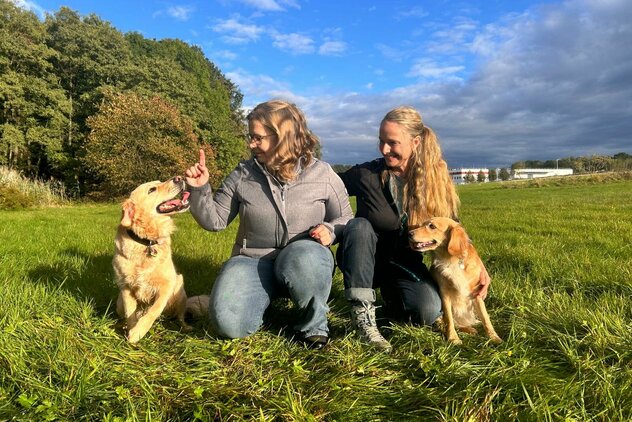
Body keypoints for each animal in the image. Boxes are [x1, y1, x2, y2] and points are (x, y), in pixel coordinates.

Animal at [112, 175, 190, 342]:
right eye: (152, 189)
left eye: (160, 182)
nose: (179, 177)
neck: (147, 242)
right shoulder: (125, 286)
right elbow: (130, 313)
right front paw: (132, 330)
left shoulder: (166, 285)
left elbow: (154, 310)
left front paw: (139, 331)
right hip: (118, 302)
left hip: (180, 288)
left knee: (180, 316)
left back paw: (186, 327)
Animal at [408, 218, 502, 346]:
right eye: (421, 225)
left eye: (432, 226)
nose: (409, 233)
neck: (452, 260)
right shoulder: (445, 294)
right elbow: (449, 320)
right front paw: (453, 338)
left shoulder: (477, 293)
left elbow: (486, 319)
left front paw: (494, 337)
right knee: (448, 322)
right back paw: (468, 329)